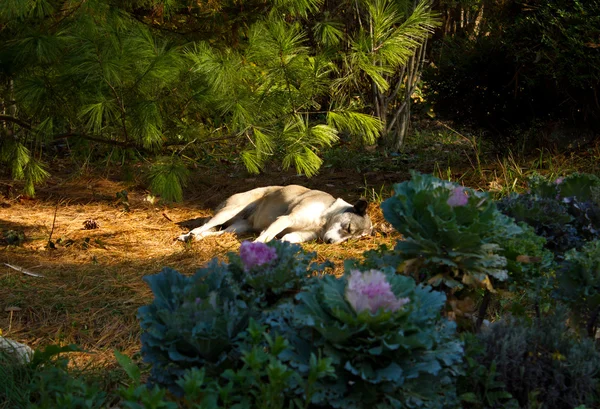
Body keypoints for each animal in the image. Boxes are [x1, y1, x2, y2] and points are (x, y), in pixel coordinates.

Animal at [176, 186, 372, 245]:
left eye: (350, 239)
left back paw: (197, 238)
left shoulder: (297, 234)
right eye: (348, 227)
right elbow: (266, 237)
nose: (330, 242)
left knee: (215, 232)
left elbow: (287, 239)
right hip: (227, 213)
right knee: (203, 226)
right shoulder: (285, 219)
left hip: (238, 228)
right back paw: (187, 236)